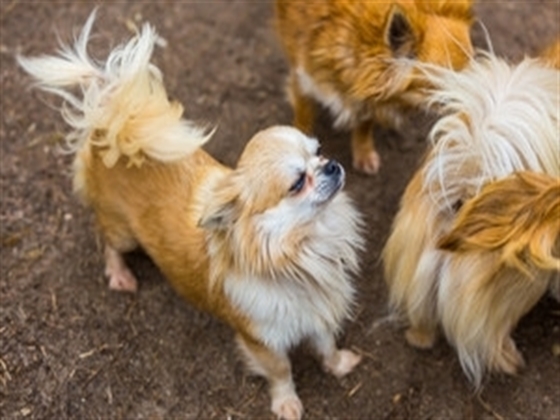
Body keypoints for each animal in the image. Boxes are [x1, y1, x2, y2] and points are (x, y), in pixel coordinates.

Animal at [18, 13, 364, 420]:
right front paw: (286, 403)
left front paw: (338, 365)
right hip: (123, 233)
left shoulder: (318, 309)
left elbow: (326, 343)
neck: (303, 248)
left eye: (319, 151)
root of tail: (111, 125)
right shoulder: (262, 339)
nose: (332, 166)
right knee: (106, 240)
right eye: (297, 183)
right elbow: (281, 371)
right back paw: (119, 275)